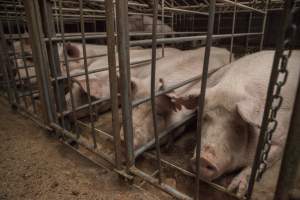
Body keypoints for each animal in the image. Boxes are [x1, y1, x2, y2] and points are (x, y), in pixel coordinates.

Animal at [179, 50, 298, 197]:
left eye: (237, 125)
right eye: (204, 118)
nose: (204, 159)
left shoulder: (281, 139)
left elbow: (259, 162)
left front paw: (235, 191)